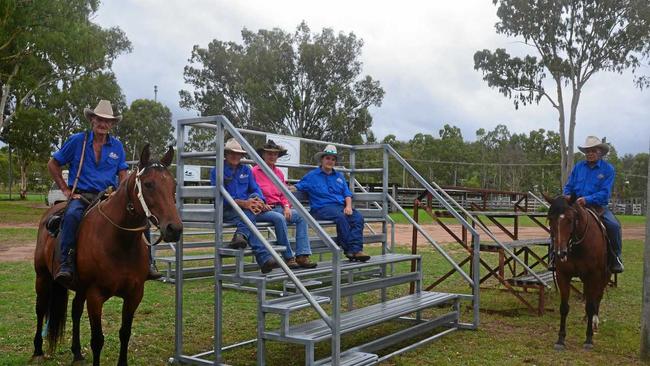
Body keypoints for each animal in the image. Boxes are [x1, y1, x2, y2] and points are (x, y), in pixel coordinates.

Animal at [31, 144, 182, 364]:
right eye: (148, 184)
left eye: (173, 185)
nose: (174, 229)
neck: (120, 243)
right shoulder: (95, 295)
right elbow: (97, 340)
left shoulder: (134, 295)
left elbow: (125, 333)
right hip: (42, 277)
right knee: (41, 308)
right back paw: (37, 351)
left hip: (79, 288)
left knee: (75, 311)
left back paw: (77, 353)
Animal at [544, 194, 612, 352]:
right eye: (550, 219)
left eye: (570, 219)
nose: (560, 253)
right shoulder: (562, 275)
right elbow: (564, 307)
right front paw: (561, 339)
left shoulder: (593, 276)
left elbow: (591, 305)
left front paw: (589, 339)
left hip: (604, 277)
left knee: (597, 298)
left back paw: (594, 321)